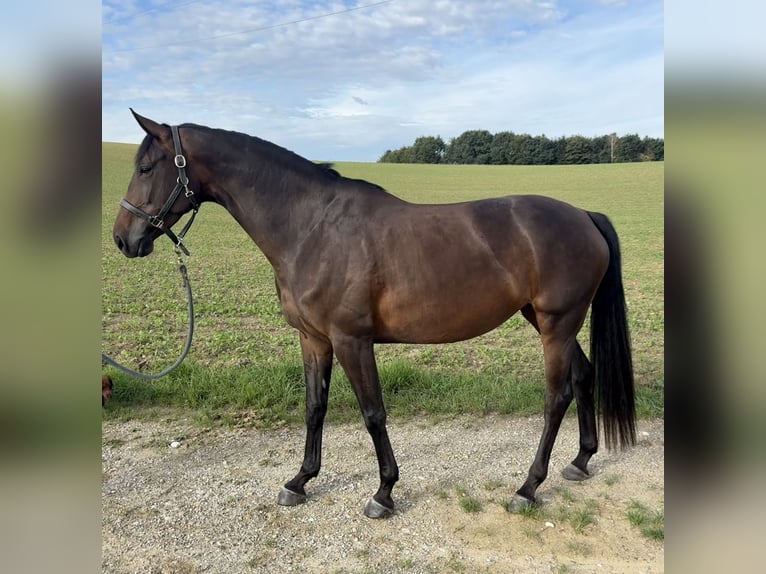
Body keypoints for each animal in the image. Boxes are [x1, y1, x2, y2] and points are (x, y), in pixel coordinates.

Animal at [112, 110, 636, 518]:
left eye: (147, 166)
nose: (123, 239)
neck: (311, 227)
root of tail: (583, 216)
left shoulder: (352, 340)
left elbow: (372, 413)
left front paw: (383, 493)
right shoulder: (314, 339)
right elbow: (315, 408)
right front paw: (299, 481)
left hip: (556, 325)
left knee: (557, 397)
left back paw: (528, 487)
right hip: (549, 322)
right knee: (584, 377)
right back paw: (581, 461)